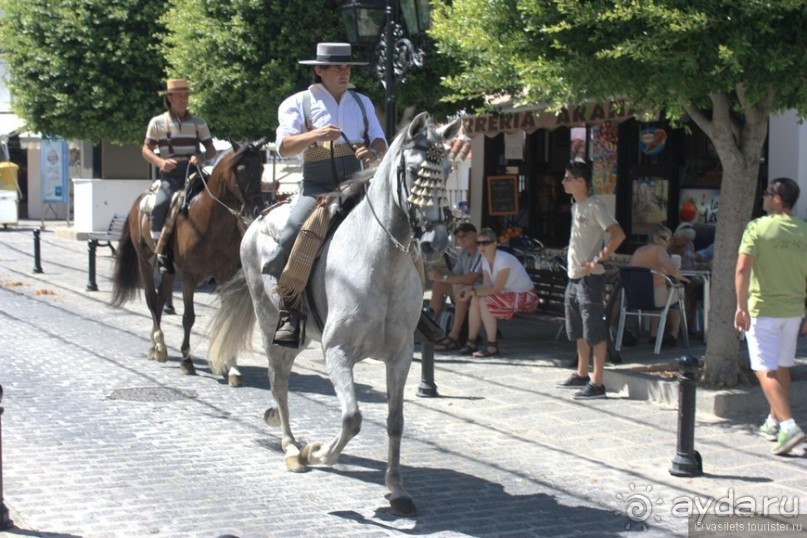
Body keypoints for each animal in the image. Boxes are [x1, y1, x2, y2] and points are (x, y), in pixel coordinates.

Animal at [110, 138, 266, 372]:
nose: (257, 210)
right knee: (151, 299)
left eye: (262, 168)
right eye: (241, 169)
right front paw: (186, 358)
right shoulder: (190, 276)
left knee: (160, 299)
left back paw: (157, 345)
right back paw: (159, 344)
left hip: (169, 270)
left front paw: (231, 367)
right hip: (144, 261)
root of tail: (140, 200)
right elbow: (188, 317)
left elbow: (226, 316)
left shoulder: (225, 273)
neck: (209, 220)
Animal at [208, 112, 460, 510]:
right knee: (279, 383)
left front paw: (397, 488)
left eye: (448, 170)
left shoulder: (400, 356)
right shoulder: (338, 352)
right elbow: (352, 417)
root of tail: (258, 218)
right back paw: (292, 448)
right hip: (272, 330)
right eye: (413, 172)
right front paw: (317, 453)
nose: (435, 242)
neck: (381, 266)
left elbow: (395, 420)